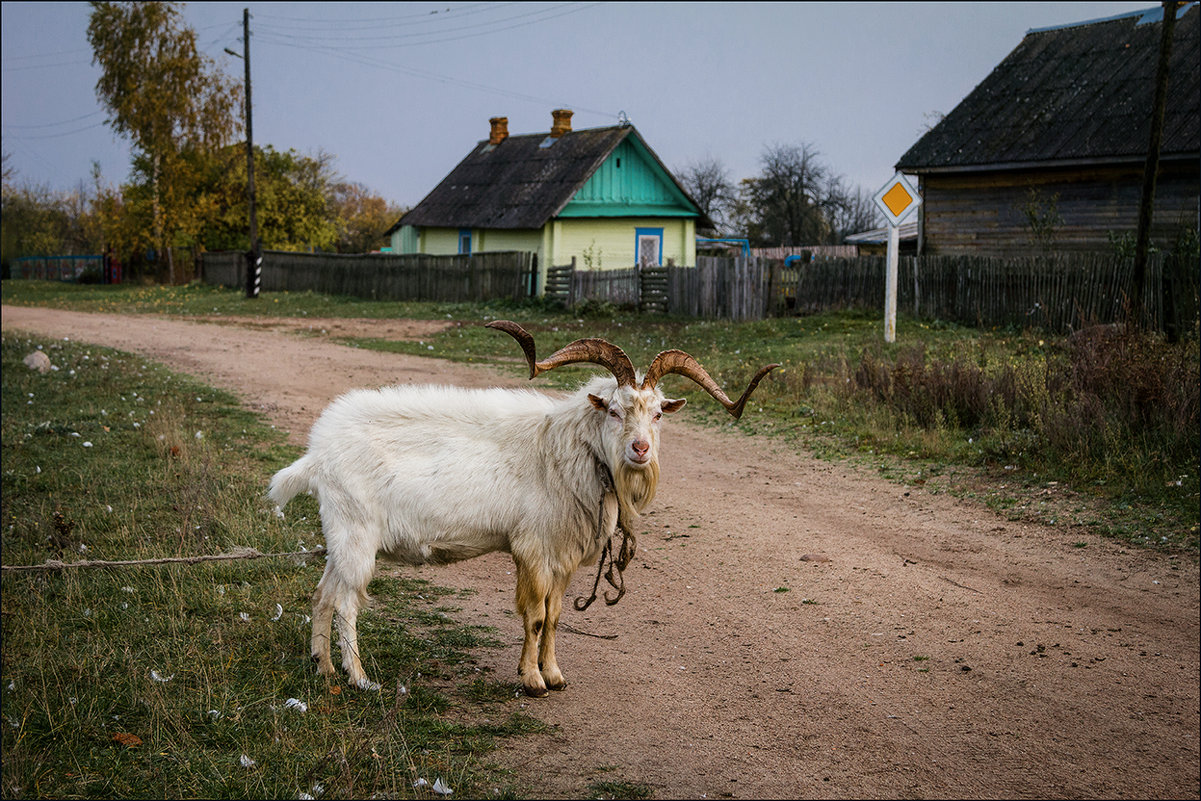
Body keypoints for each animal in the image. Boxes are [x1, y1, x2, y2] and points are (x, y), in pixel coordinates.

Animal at [271, 321, 778, 696]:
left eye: (657, 414)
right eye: (614, 410)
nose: (640, 450)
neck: (565, 449)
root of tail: (317, 453)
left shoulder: (562, 555)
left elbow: (554, 616)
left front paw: (553, 675)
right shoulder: (532, 549)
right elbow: (534, 615)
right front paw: (532, 680)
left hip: (340, 538)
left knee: (321, 595)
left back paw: (324, 670)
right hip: (357, 534)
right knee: (346, 603)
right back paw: (359, 678)